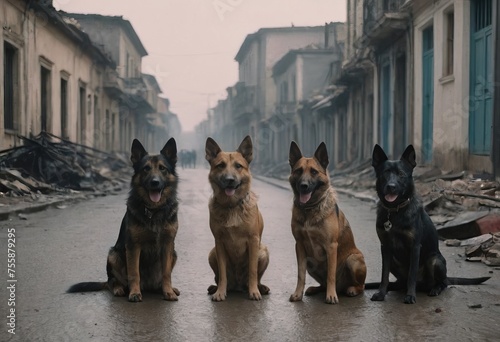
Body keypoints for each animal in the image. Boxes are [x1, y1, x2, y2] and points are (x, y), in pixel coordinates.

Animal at [67, 137, 181, 302]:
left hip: (174, 254)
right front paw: (134, 293)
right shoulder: (133, 246)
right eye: (146, 168)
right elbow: (134, 273)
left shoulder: (168, 245)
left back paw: (165, 288)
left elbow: (166, 273)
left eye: (162, 168)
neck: (153, 210)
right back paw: (119, 289)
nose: (155, 182)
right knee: (112, 281)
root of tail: (148, 286)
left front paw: (168, 291)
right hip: (113, 254)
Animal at [206, 135, 272, 300]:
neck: (232, 206)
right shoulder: (219, 242)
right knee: (219, 277)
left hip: (263, 251)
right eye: (220, 165)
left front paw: (254, 292)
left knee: (256, 277)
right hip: (212, 253)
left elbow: (253, 271)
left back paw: (260, 287)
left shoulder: (253, 241)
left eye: (238, 166)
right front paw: (220, 292)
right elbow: (222, 273)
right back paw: (216, 288)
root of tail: (237, 286)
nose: (230, 179)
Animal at [288, 142, 366, 304]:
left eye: (314, 172)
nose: (304, 185)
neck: (309, 209)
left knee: (361, 286)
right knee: (322, 283)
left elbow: (330, 274)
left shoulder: (331, 246)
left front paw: (331, 296)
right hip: (311, 263)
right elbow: (300, 274)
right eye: (298, 171)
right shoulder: (299, 245)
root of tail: (342, 287)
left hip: (353, 259)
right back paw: (315, 289)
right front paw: (298, 294)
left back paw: (351, 290)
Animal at [368, 143, 488, 304]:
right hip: (394, 260)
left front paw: (410, 296)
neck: (395, 211)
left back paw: (435, 289)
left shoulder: (414, 247)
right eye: (385, 173)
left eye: (401, 174)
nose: (391, 186)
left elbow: (412, 275)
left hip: (435, 260)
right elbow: (384, 274)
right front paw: (381, 293)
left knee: (443, 283)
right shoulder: (385, 247)